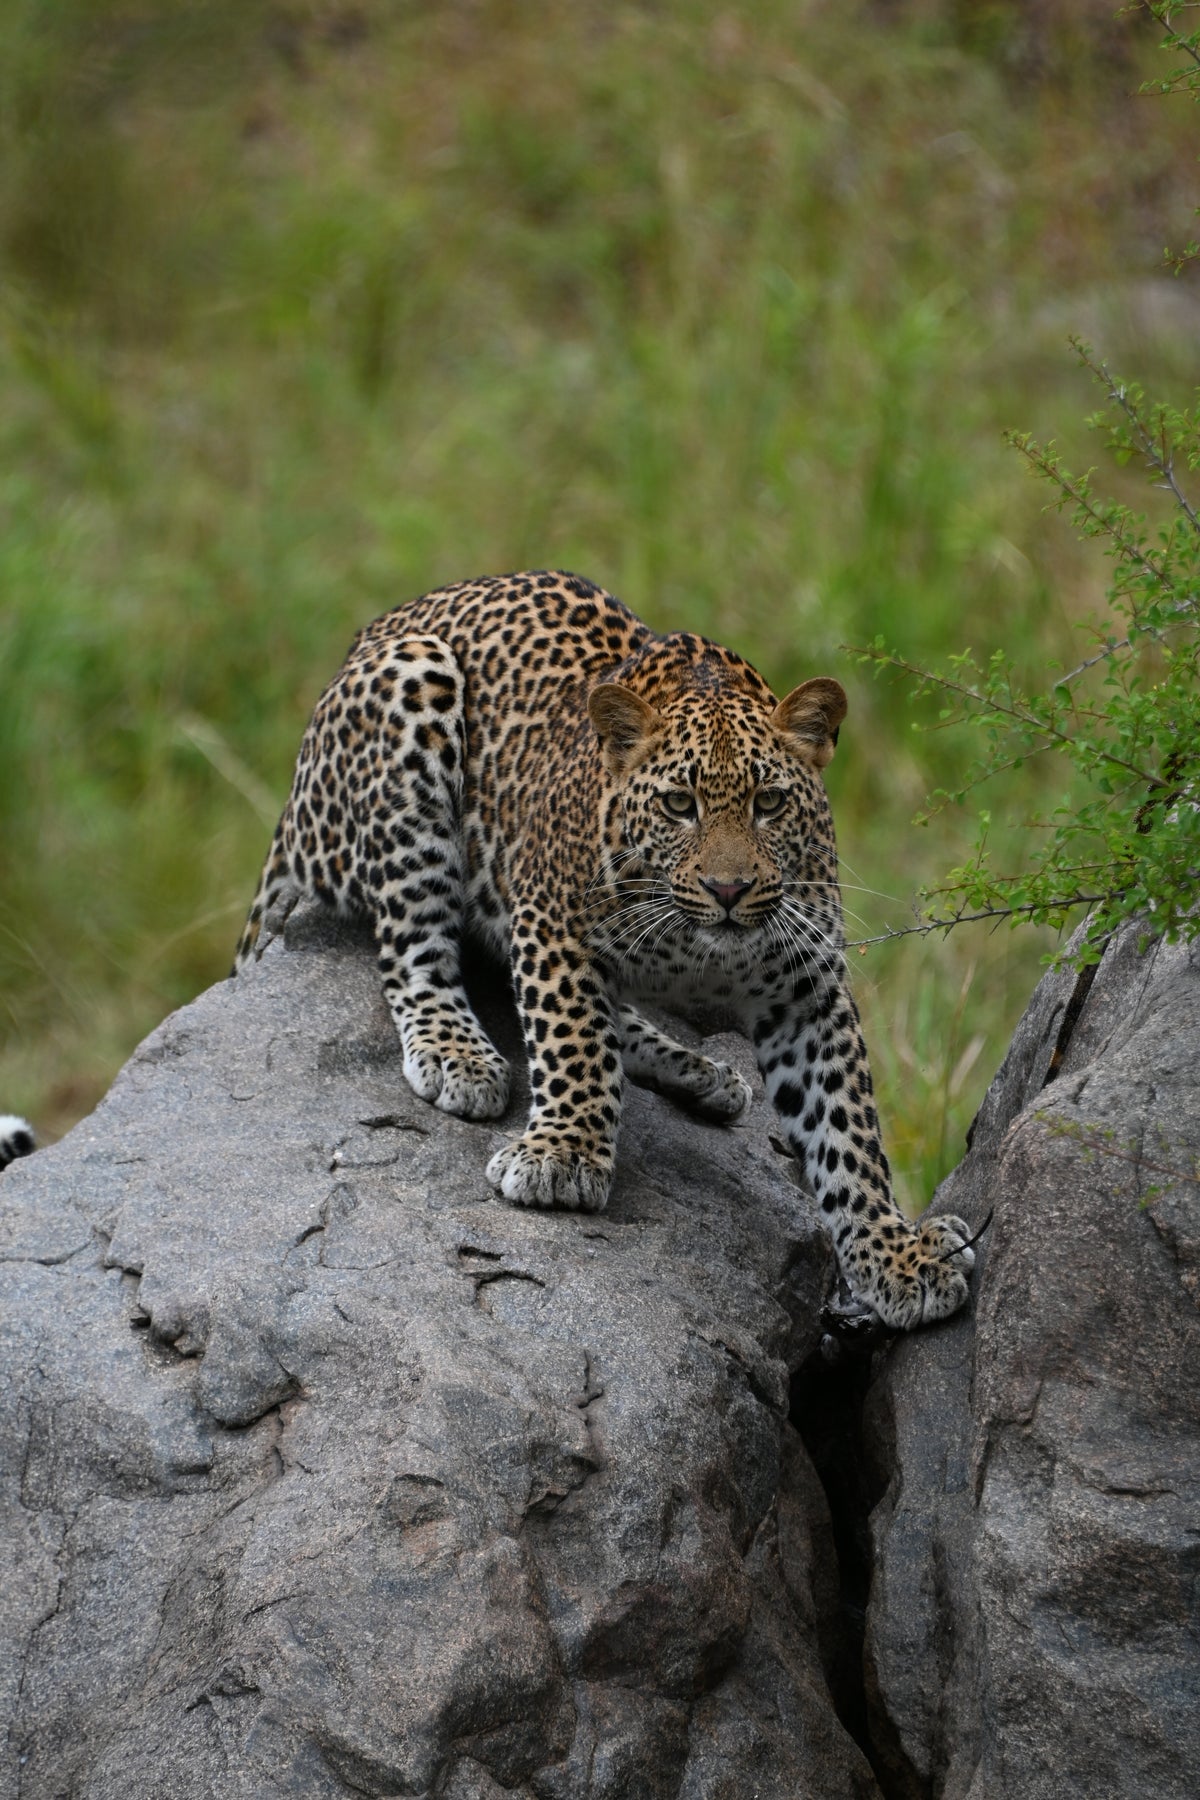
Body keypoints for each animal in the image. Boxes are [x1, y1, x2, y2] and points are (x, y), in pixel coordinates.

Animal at [233, 568, 978, 1332]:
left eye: (769, 804)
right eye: (679, 805)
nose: (731, 888)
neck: (696, 951)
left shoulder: (808, 989)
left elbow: (847, 1127)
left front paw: (894, 1254)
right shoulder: (551, 922)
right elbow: (575, 1041)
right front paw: (564, 1155)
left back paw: (699, 1072)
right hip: (413, 700)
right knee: (413, 951)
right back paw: (457, 1053)